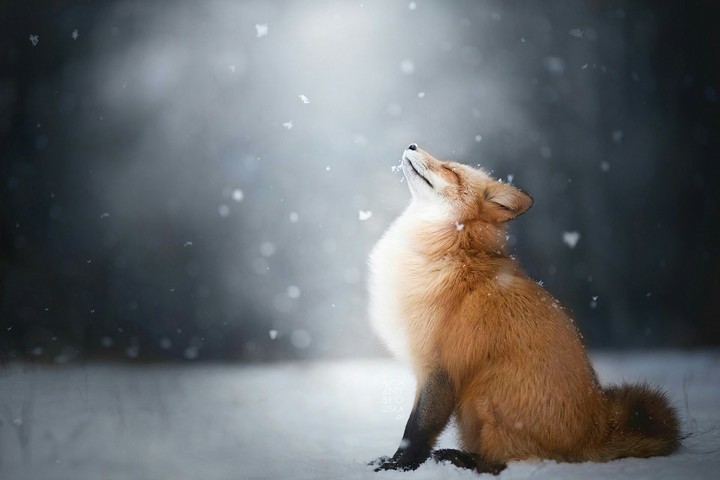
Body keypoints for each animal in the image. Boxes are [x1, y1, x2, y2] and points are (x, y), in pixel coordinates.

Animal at [367, 144, 680, 474]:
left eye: (450, 170)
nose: (412, 146)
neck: (452, 249)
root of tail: (597, 431)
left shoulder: (440, 367)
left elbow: (416, 430)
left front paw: (398, 466)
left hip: (484, 391)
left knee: (501, 462)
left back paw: (461, 459)